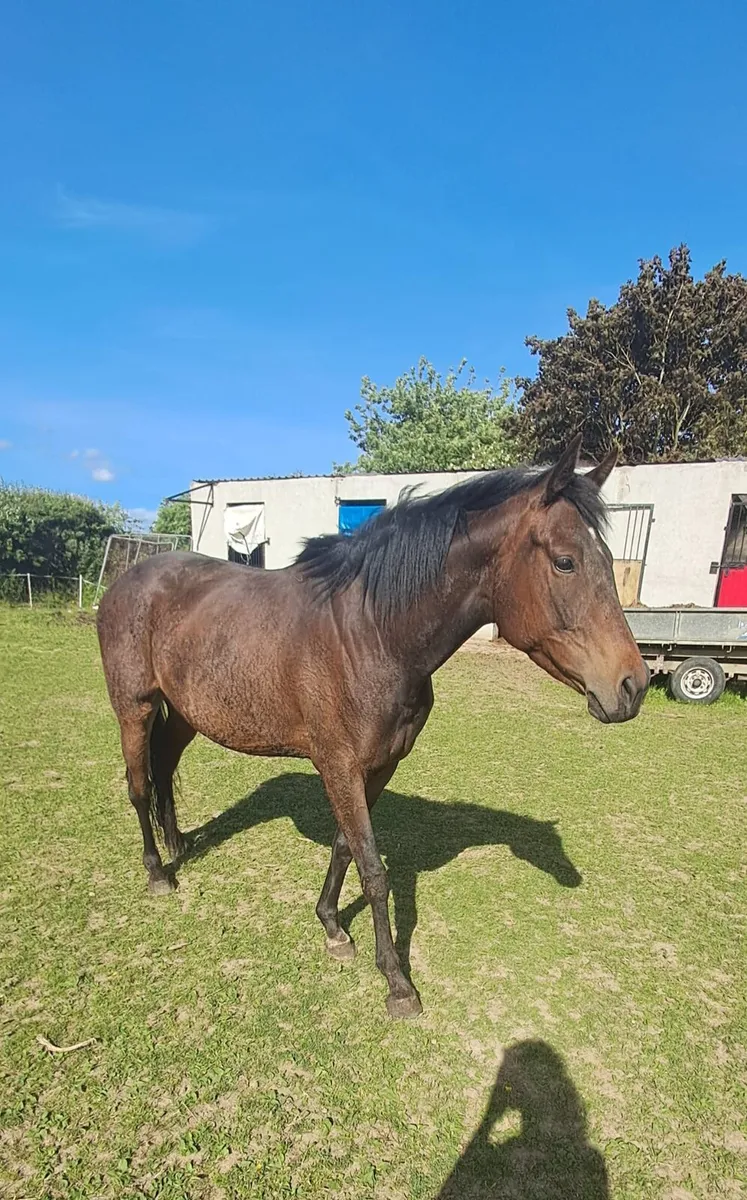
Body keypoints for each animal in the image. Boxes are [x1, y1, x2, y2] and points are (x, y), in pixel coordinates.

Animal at [97, 437, 648, 1018]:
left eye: (606, 560)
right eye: (566, 562)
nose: (632, 686)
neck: (372, 633)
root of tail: (127, 579)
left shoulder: (378, 766)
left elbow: (347, 848)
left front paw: (332, 926)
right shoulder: (338, 766)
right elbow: (375, 870)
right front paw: (397, 982)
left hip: (184, 713)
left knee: (163, 770)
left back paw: (178, 844)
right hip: (133, 707)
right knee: (138, 786)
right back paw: (158, 872)